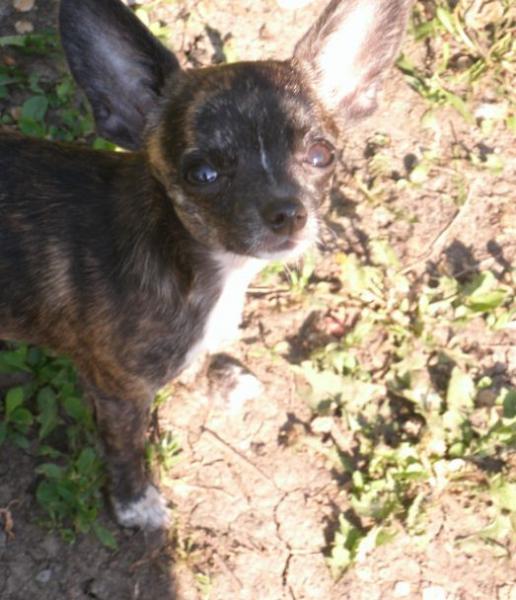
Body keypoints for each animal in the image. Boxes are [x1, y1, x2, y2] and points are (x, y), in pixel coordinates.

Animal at [0, 0, 412, 529]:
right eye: (202, 173)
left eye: (322, 155)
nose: (287, 211)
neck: (197, 261)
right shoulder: (117, 395)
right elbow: (125, 451)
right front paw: (135, 503)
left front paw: (221, 379)